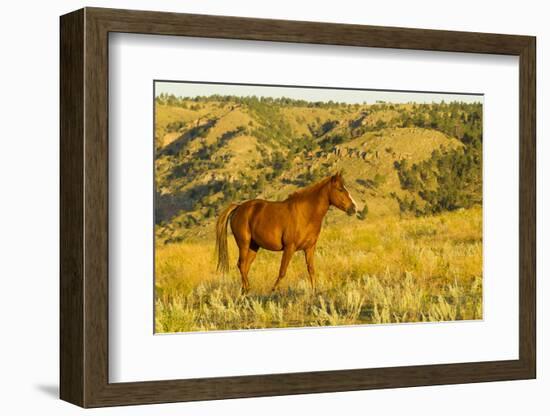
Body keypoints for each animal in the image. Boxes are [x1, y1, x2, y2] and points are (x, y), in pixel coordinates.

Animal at [216, 172, 358, 296]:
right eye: (340, 189)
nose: (354, 208)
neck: (306, 214)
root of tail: (239, 207)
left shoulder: (309, 248)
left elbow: (311, 270)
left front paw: (314, 292)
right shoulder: (290, 248)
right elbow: (282, 271)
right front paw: (273, 291)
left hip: (253, 246)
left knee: (245, 266)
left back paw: (245, 291)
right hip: (244, 244)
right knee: (241, 265)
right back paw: (247, 289)